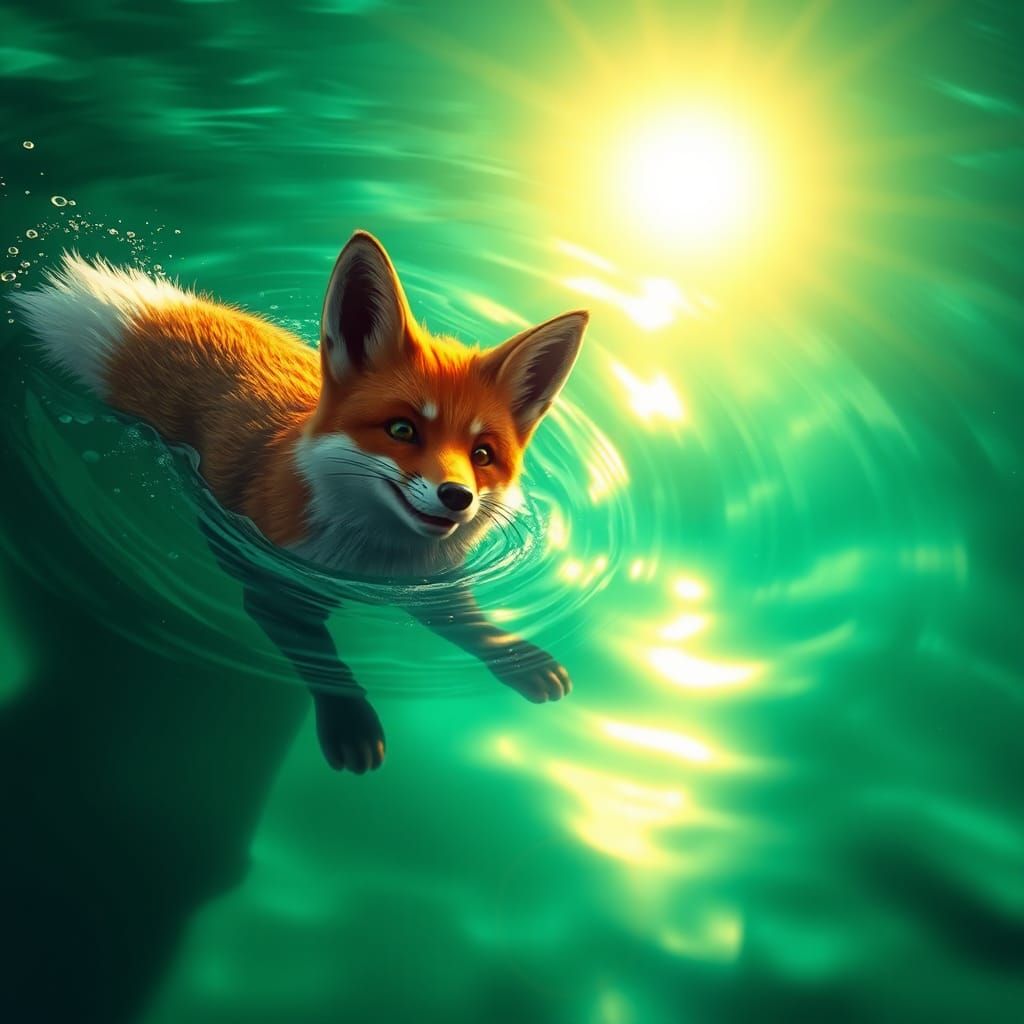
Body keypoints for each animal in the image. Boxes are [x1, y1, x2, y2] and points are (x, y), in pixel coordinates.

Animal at [13, 231, 589, 774]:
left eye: (482, 455)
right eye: (402, 430)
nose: (457, 496)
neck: (376, 564)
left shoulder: (433, 585)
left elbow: (471, 626)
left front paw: (520, 660)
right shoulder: (276, 589)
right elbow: (323, 662)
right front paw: (350, 722)